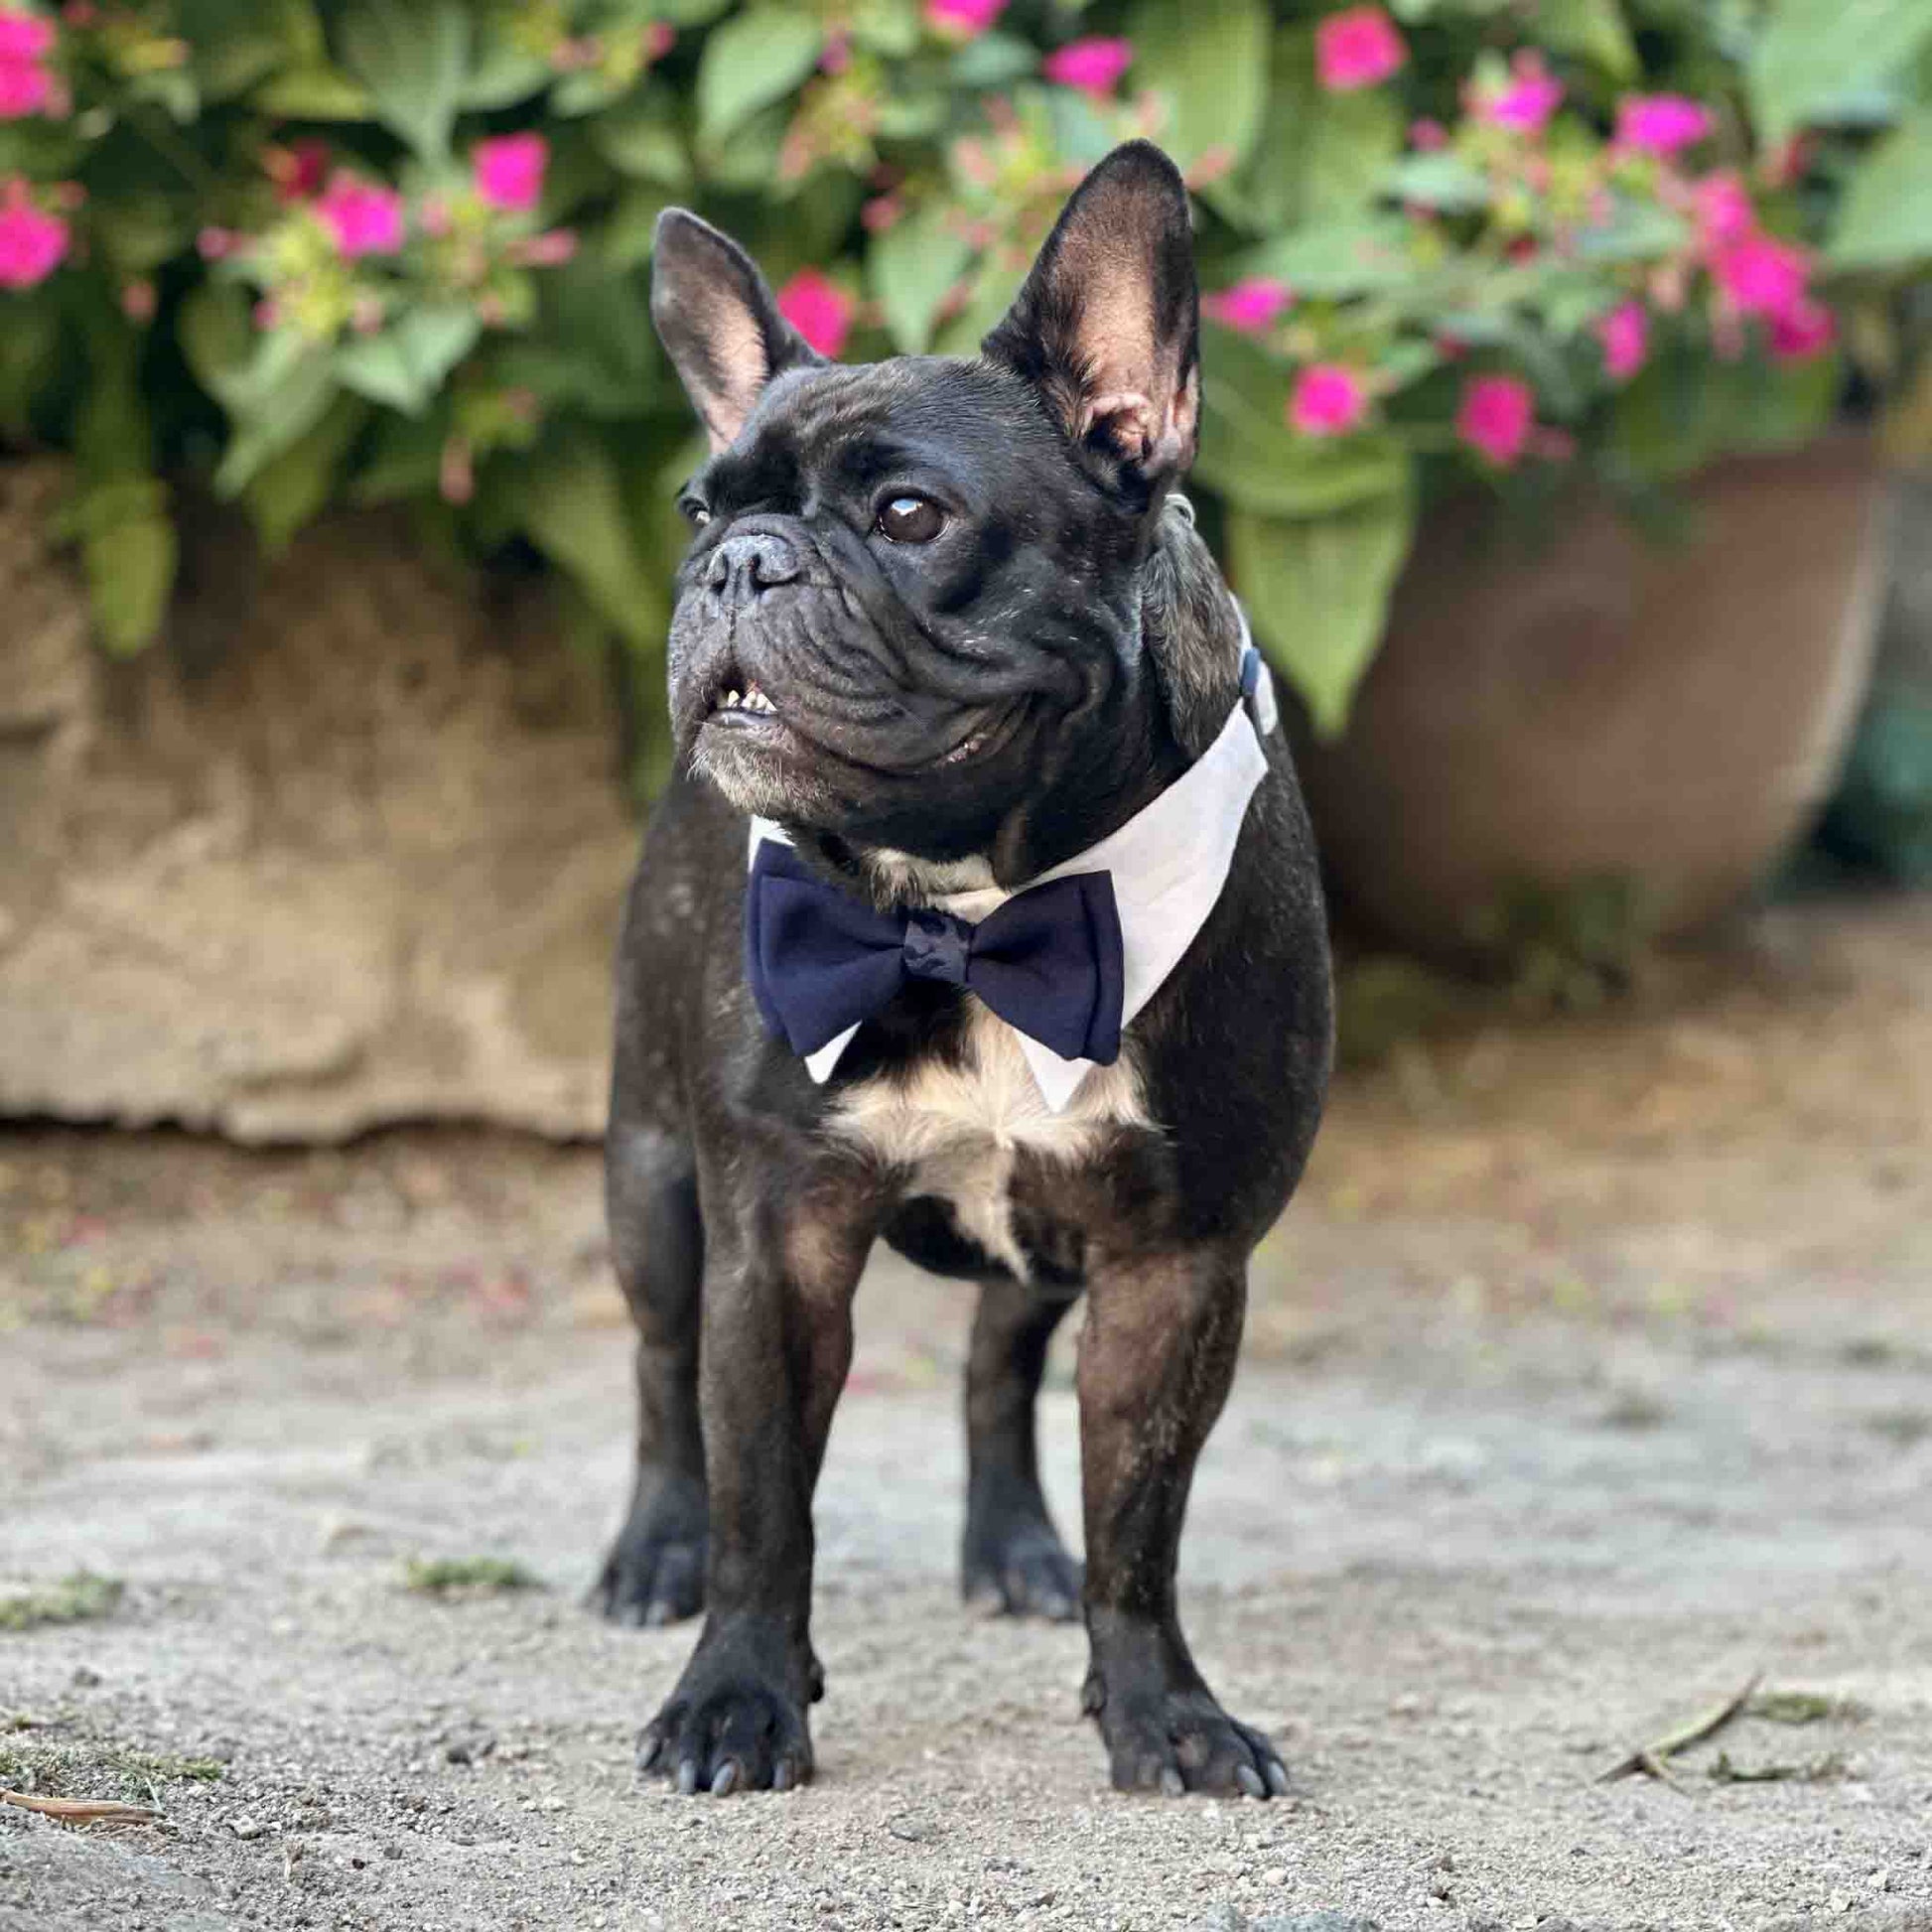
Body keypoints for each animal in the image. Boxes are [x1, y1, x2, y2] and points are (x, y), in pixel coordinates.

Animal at [595, 143, 1336, 1800]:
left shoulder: (1175, 1261)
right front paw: (736, 1693)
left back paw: (1012, 1547)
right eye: (694, 505)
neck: (973, 904)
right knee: (666, 1379)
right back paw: (650, 1551)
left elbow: (1141, 1518)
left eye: (909, 512)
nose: (734, 564)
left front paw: (1160, 1708)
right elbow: (763, 1496)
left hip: (1049, 1242)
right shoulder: (775, 1237)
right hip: (650, 1176)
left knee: (999, 1368)